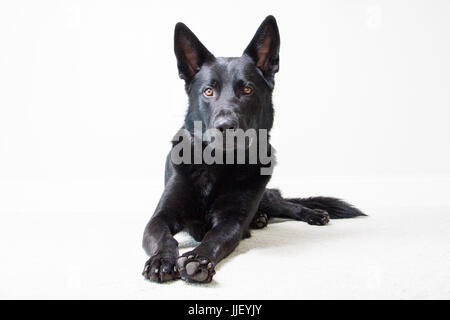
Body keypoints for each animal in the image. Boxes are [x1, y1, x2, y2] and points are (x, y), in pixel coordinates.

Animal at [142, 16, 364, 284]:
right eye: (208, 91)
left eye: (247, 90)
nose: (225, 126)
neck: (218, 164)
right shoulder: (161, 217)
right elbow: (164, 237)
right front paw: (161, 260)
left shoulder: (231, 221)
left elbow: (214, 237)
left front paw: (198, 259)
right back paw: (261, 219)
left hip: (264, 193)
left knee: (284, 203)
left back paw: (312, 213)